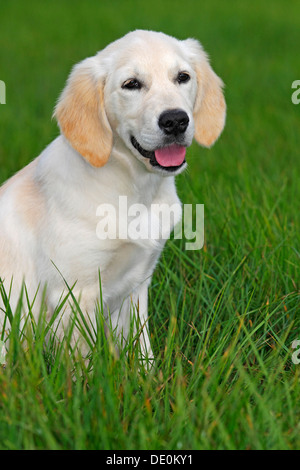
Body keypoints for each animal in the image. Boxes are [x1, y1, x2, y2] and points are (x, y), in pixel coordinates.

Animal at [0, 29, 225, 360]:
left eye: (182, 77)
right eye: (131, 84)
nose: (175, 120)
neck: (134, 192)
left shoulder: (136, 285)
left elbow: (142, 351)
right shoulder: (74, 293)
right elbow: (84, 362)